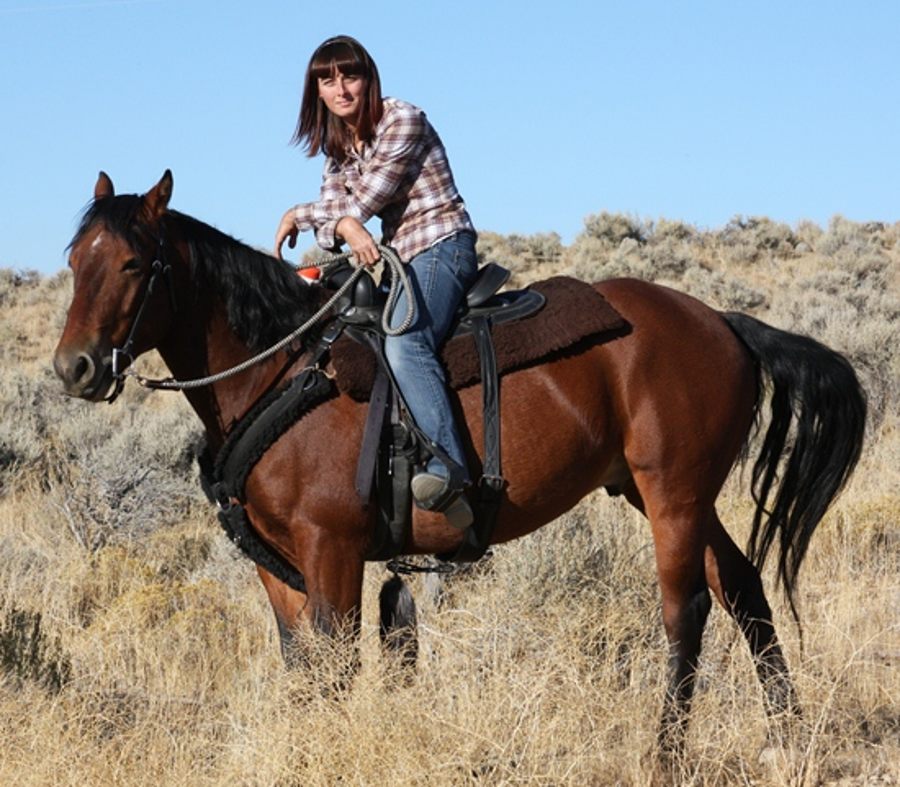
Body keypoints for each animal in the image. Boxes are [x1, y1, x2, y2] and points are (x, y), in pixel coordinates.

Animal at [53, 170, 866, 754]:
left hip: (673, 493)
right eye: (73, 263)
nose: (76, 367)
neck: (283, 368)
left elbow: (339, 670)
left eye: (132, 262)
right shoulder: (278, 566)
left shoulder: (332, 550)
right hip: (666, 493)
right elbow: (304, 674)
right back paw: (789, 737)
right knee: (744, 588)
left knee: (687, 608)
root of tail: (723, 321)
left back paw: (664, 753)